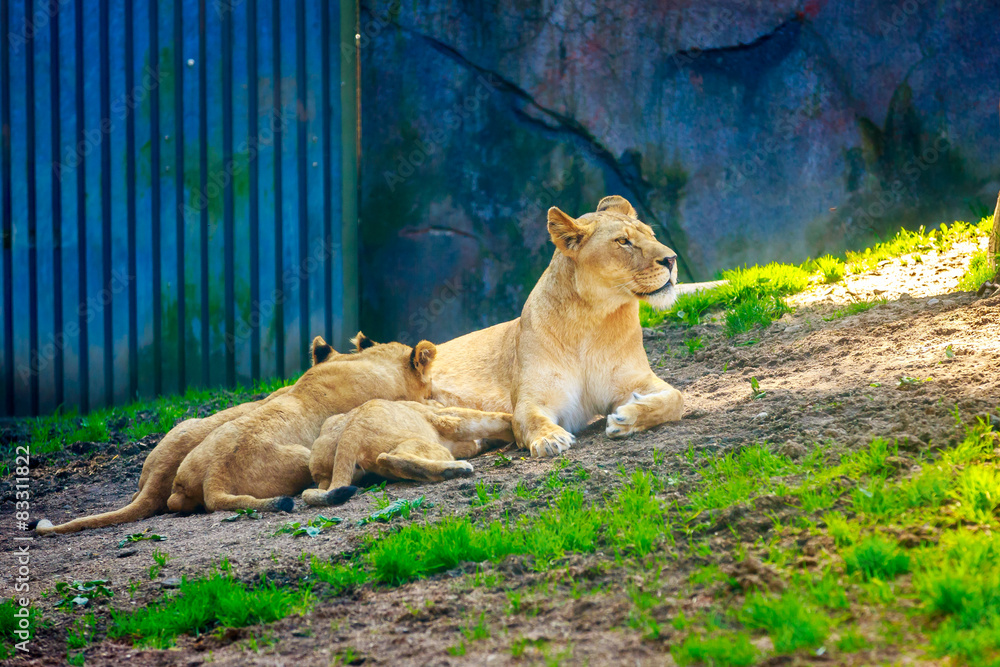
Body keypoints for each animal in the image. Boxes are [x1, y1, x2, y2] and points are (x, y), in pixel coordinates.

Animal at [302, 400, 514, 507]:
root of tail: (349, 432)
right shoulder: (447, 421)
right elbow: (488, 419)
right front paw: (512, 425)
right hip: (430, 444)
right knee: (388, 457)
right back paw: (457, 469)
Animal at [431, 195, 685, 458]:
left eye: (651, 235)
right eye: (623, 241)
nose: (672, 259)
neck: (592, 321)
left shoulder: (636, 380)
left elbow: (676, 398)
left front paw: (627, 417)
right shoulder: (532, 398)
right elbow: (528, 419)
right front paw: (549, 438)